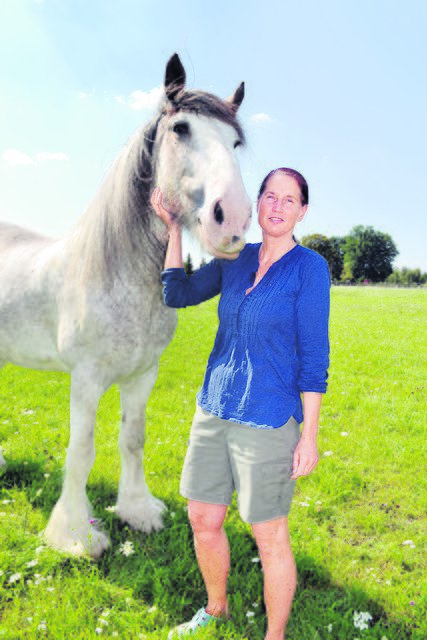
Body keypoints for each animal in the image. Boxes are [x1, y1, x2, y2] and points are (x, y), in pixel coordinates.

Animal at [0, 53, 251, 556]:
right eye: (180, 129)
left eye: (235, 141)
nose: (231, 219)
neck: (118, 273)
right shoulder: (86, 380)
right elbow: (81, 451)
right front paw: (76, 536)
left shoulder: (141, 376)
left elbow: (133, 439)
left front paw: (138, 511)